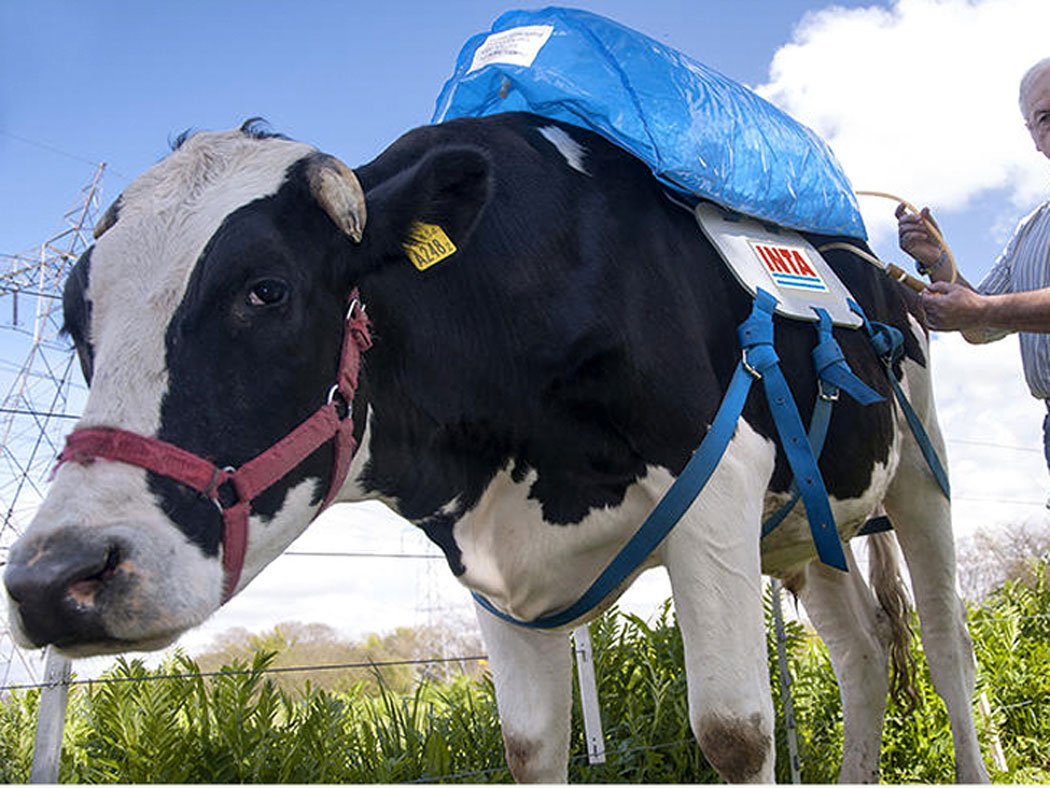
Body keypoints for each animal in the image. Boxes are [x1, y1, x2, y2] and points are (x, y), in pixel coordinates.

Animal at [4, 115, 988, 783]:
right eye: (74, 322)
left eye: (266, 290)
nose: (54, 580)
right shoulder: (489, 557)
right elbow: (529, 745)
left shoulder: (718, 495)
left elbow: (735, 732)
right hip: (805, 530)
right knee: (864, 655)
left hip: (922, 477)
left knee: (945, 649)